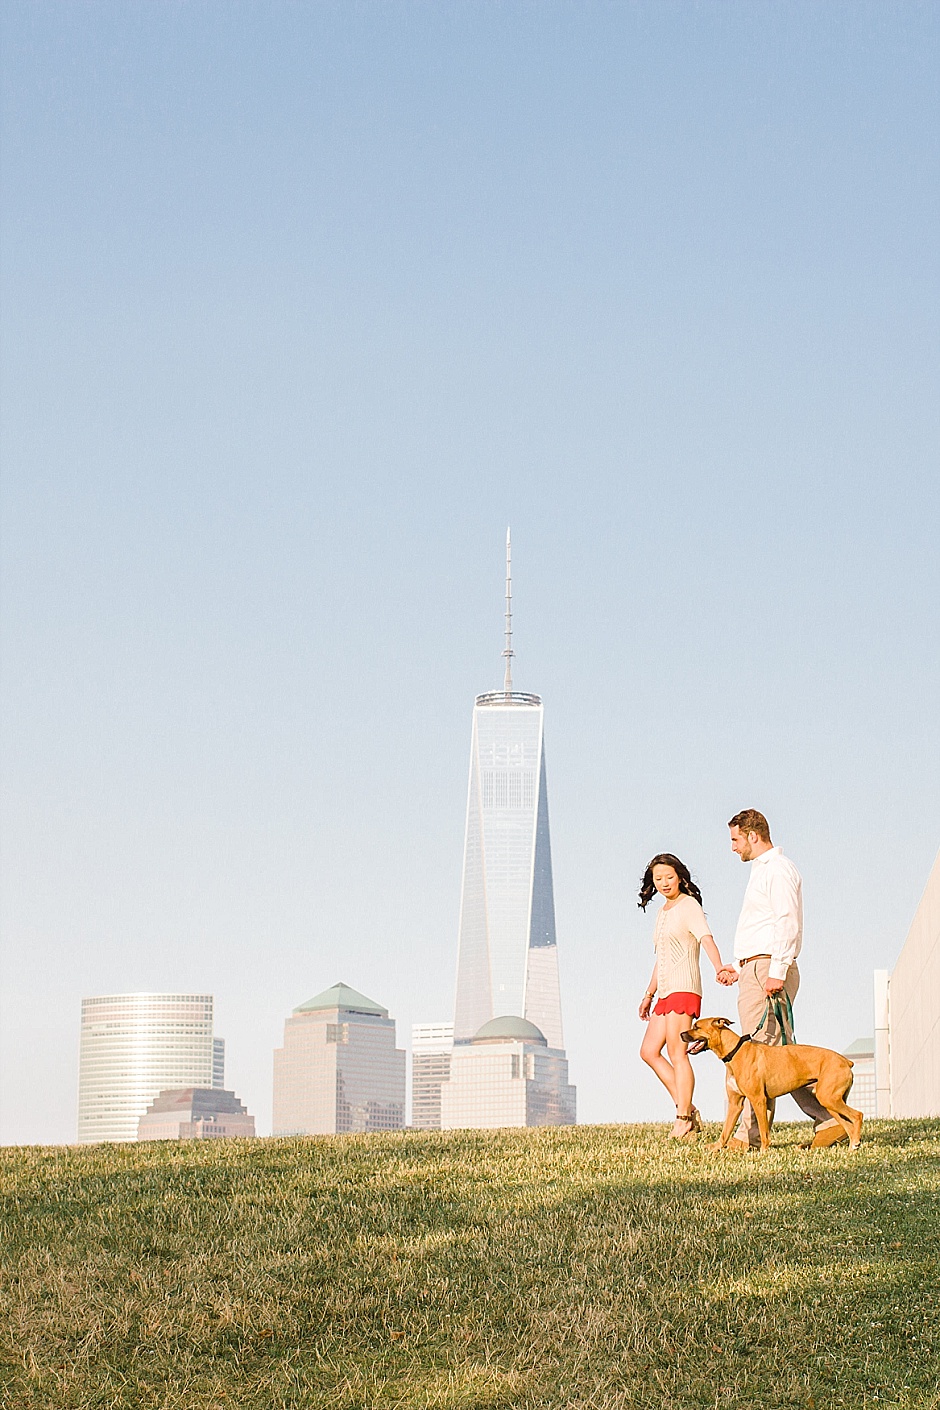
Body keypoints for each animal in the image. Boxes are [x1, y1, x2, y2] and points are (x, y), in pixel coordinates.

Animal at [679, 1020, 862, 1150]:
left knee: (857, 1115)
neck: (735, 1052)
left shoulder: (758, 1100)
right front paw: (717, 1147)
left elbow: (763, 1131)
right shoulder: (735, 1104)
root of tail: (846, 1061)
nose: (681, 1034)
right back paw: (853, 1144)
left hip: (829, 1098)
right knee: (848, 1123)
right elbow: (726, 1130)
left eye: (696, 1027)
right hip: (830, 1102)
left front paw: (763, 1152)